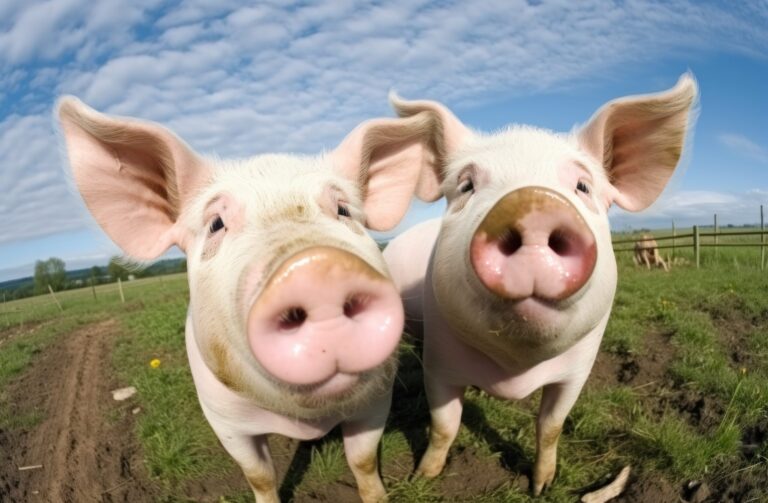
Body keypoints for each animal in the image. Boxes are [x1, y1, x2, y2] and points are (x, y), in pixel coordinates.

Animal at [57, 97, 436, 502]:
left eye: (343, 210)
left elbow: (363, 461)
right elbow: (259, 475)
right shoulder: (225, 421)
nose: (318, 267)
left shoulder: (377, 398)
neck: (307, 422)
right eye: (216, 224)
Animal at [383, 74, 697, 495]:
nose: (532, 203)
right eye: (465, 186)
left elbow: (551, 426)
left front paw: (540, 487)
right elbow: (445, 425)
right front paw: (423, 477)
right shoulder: (440, 363)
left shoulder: (578, 368)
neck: (516, 372)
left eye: (583, 186)